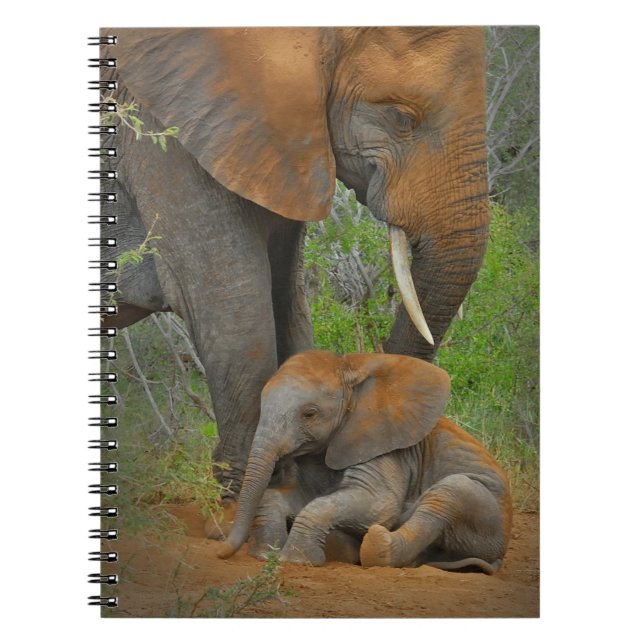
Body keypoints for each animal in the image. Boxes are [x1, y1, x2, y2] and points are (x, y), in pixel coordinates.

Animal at [217, 350, 512, 573]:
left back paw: (376, 544)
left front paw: (295, 561)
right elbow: (291, 496)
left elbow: (377, 504)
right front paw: (266, 555)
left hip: (486, 514)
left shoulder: (385, 448)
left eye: (309, 414)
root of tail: (499, 554)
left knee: (448, 494)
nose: (221, 553)